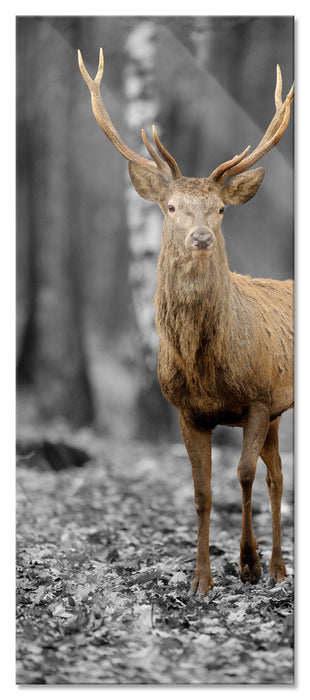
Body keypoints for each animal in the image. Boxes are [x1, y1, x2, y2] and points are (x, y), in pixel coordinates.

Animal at [78, 49, 294, 592]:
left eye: (220, 209)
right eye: (172, 206)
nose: (201, 237)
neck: (206, 367)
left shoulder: (258, 398)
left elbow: (242, 475)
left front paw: (247, 564)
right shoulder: (186, 410)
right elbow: (201, 490)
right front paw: (201, 581)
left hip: (276, 403)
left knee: (272, 476)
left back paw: (274, 568)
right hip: (277, 413)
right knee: (279, 474)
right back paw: (281, 567)